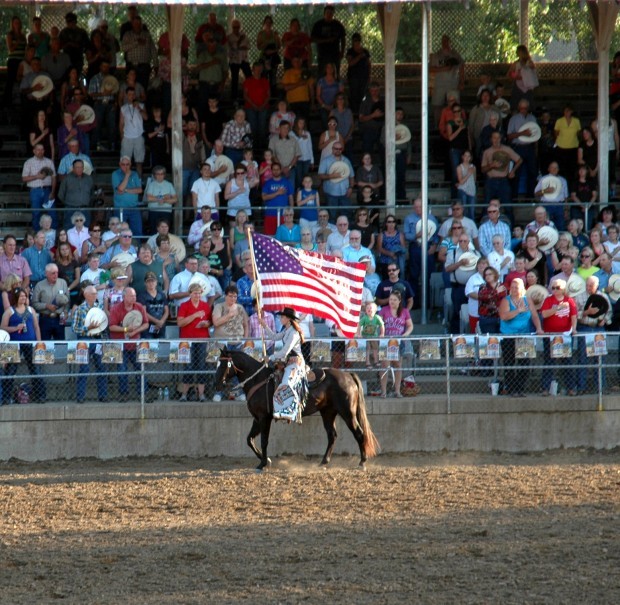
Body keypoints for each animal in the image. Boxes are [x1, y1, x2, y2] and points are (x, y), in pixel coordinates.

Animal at [213, 346, 378, 470]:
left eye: (224, 365)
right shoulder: (257, 418)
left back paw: (362, 463)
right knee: (332, 436)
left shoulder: (264, 418)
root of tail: (348, 376)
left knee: (359, 433)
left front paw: (264, 463)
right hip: (328, 412)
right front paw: (265, 460)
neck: (258, 380)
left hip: (347, 412)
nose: (217, 384)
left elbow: (263, 441)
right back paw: (323, 462)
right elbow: (249, 439)